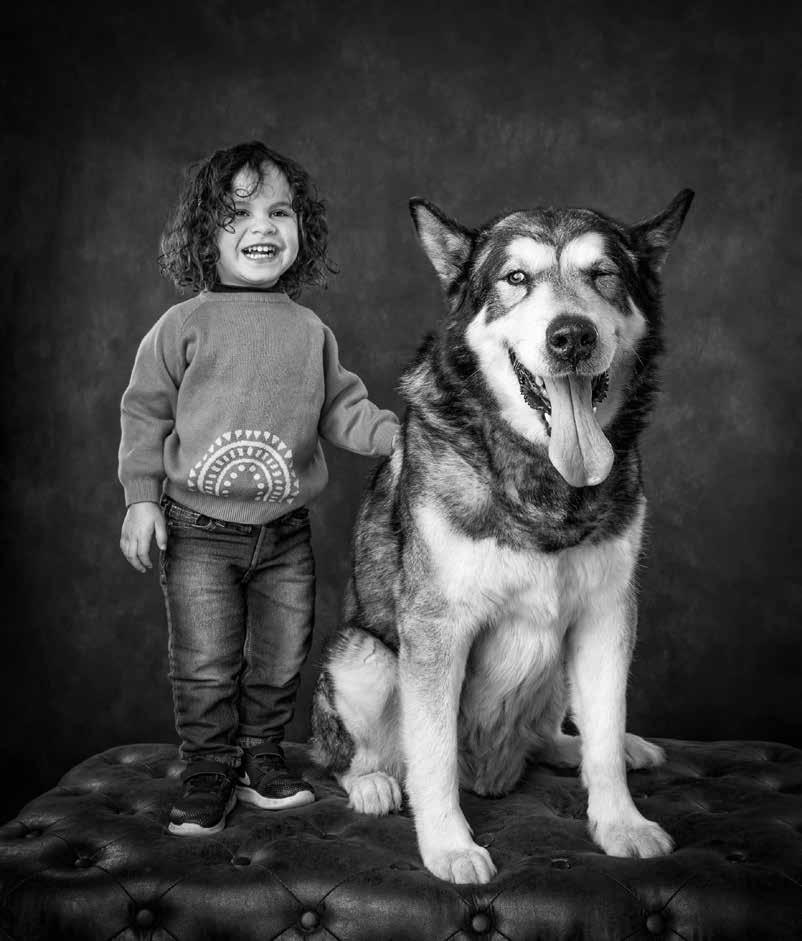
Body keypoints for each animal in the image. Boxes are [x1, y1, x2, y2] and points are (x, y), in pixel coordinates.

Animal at [311, 190, 693, 884]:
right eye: (516, 279)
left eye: (604, 274)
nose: (571, 336)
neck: (544, 480)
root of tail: (492, 768)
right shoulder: (435, 627)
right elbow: (432, 754)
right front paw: (448, 846)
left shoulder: (606, 616)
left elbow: (604, 733)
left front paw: (621, 821)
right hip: (363, 656)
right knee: (347, 754)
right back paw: (372, 783)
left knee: (552, 736)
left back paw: (594, 748)